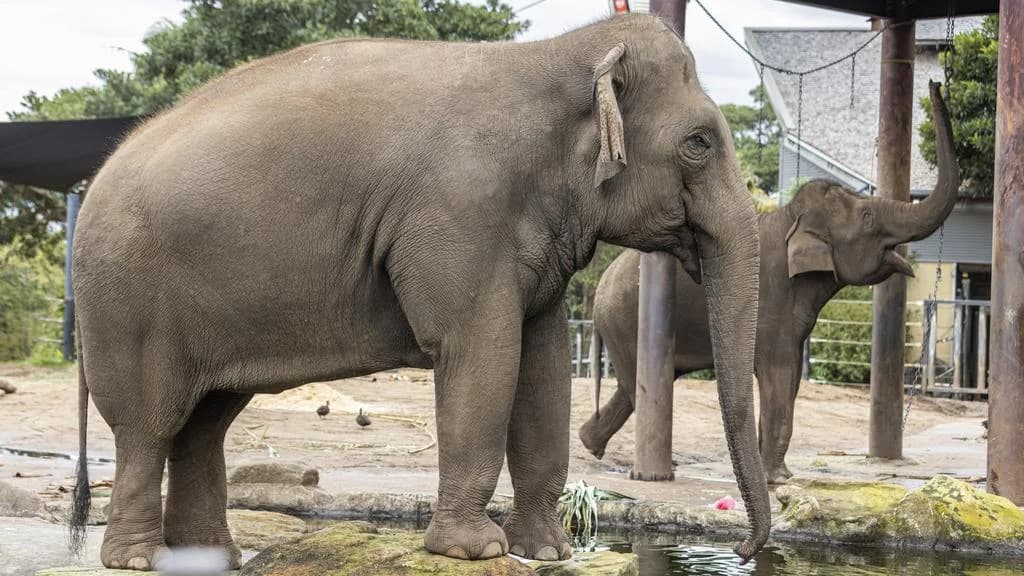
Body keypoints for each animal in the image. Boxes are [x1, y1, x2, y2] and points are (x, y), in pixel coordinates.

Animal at [69, 14, 769, 571]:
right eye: (699, 143)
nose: (741, 550)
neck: (556, 55)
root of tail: (95, 179)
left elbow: (542, 365)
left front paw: (548, 552)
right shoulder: (460, 215)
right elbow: (481, 354)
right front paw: (474, 550)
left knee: (206, 420)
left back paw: (210, 558)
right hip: (127, 299)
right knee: (150, 423)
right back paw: (135, 559)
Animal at [579, 81, 958, 486]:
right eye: (869, 218)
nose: (936, 84)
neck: (790, 218)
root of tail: (601, 285)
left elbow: (791, 382)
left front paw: (778, 474)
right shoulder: (772, 304)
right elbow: (779, 376)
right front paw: (778, 479)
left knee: (631, 388)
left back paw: (591, 445)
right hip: (623, 320)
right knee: (636, 386)